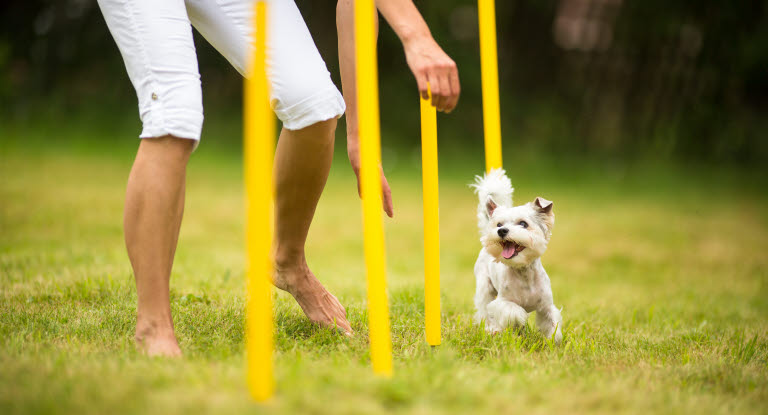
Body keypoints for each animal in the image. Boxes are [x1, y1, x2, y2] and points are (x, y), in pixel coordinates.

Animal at [468, 169, 564, 344]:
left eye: (523, 224)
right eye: (499, 224)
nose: (501, 230)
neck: (523, 272)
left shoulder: (546, 306)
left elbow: (552, 323)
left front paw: (552, 341)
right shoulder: (502, 302)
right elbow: (514, 311)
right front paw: (519, 322)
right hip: (484, 287)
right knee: (485, 311)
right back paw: (492, 329)